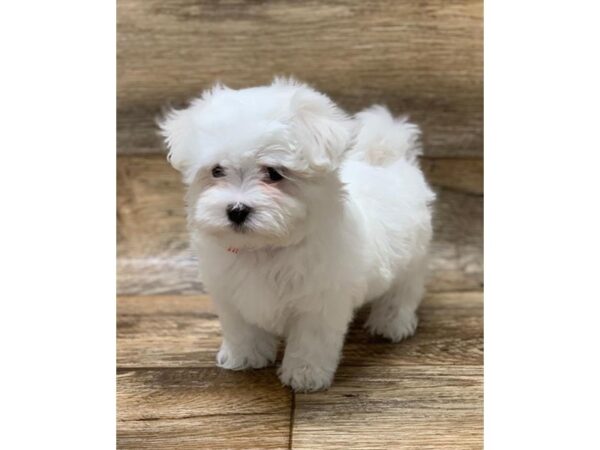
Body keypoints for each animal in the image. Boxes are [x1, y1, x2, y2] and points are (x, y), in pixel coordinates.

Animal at [157, 77, 434, 390]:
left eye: (274, 173)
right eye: (217, 171)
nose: (237, 210)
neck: (262, 248)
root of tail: (386, 156)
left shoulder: (319, 302)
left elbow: (310, 341)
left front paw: (305, 375)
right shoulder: (231, 295)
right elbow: (243, 330)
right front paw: (245, 357)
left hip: (414, 255)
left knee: (404, 290)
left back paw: (392, 323)